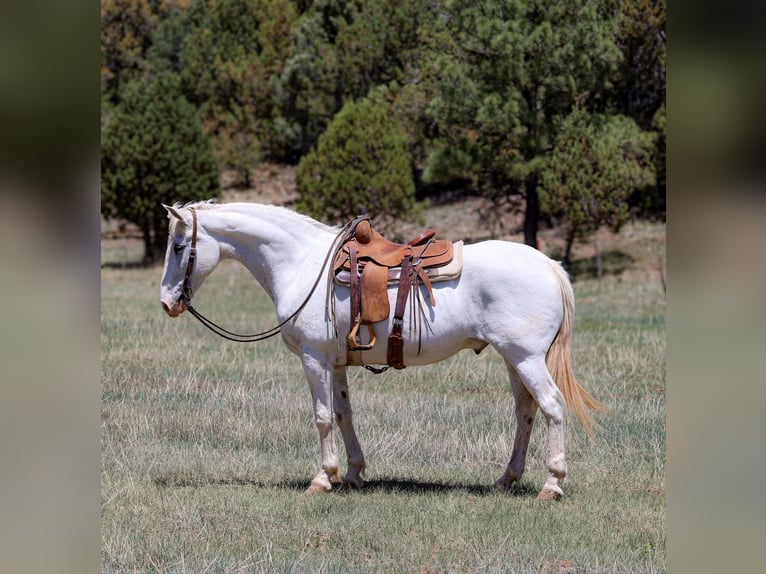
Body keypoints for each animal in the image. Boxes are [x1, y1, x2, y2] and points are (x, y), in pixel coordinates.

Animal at [159, 200, 603, 499]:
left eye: (179, 246)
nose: (167, 302)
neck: (302, 264)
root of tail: (548, 265)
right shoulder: (335, 362)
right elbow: (343, 415)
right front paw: (353, 473)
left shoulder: (313, 358)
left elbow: (322, 418)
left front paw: (322, 478)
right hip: (514, 358)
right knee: (526, 412)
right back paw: (506, 479)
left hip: (526, 357)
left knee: (551, 406)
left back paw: (552, 484)